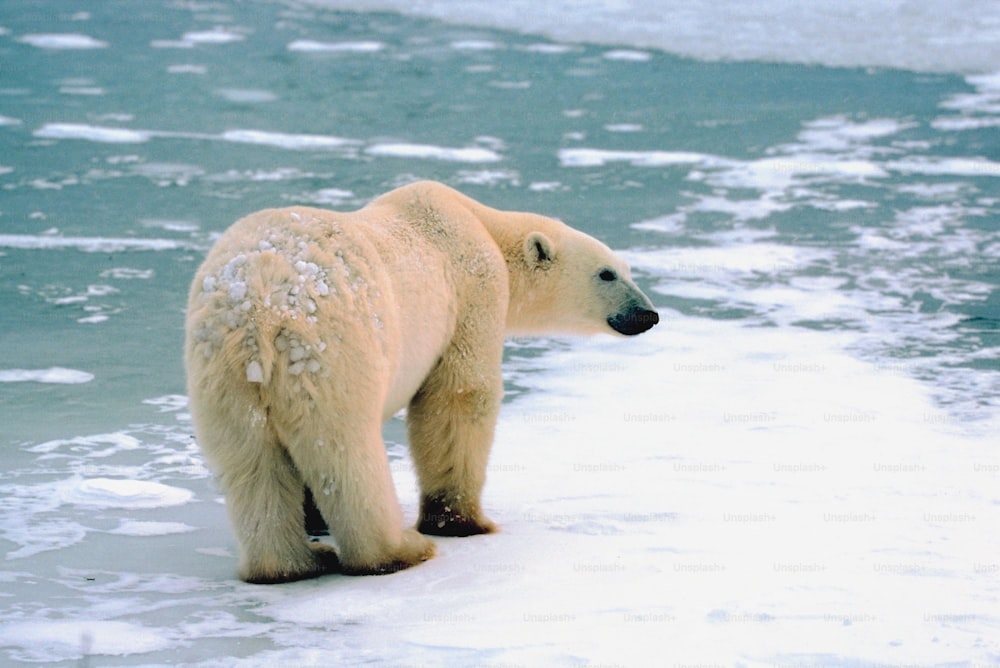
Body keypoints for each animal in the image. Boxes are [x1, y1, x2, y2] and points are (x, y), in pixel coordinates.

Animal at [185, 180, 660, 580]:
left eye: (626, 268)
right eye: (607, 273)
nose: (648, 314)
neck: (481, 224)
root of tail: (260, 306)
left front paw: (315, 521)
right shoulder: (470, 290)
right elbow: (459, 397)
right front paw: (459, 521)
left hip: (221, 368)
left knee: (250, 459)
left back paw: (288, 564)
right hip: (331, 347)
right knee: (345, 447)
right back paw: (397, 551)